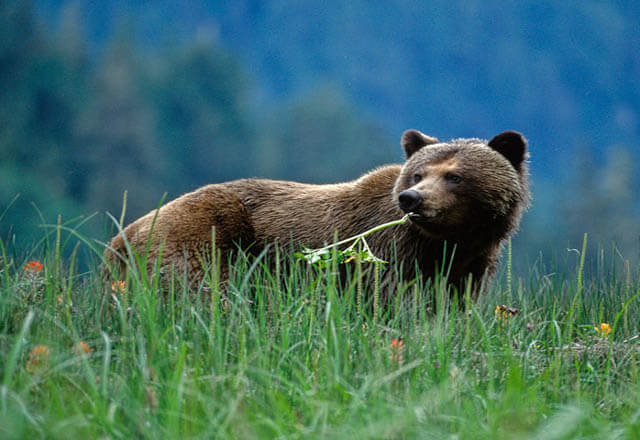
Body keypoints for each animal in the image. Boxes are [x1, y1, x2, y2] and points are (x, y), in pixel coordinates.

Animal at [104, 129, 529, 299]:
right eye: (419, 173)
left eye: (455, 176)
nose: (412, 199)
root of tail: (122, 237)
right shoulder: (387, 253)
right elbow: (392, 301)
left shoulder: (469, 265)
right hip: (204, 233)